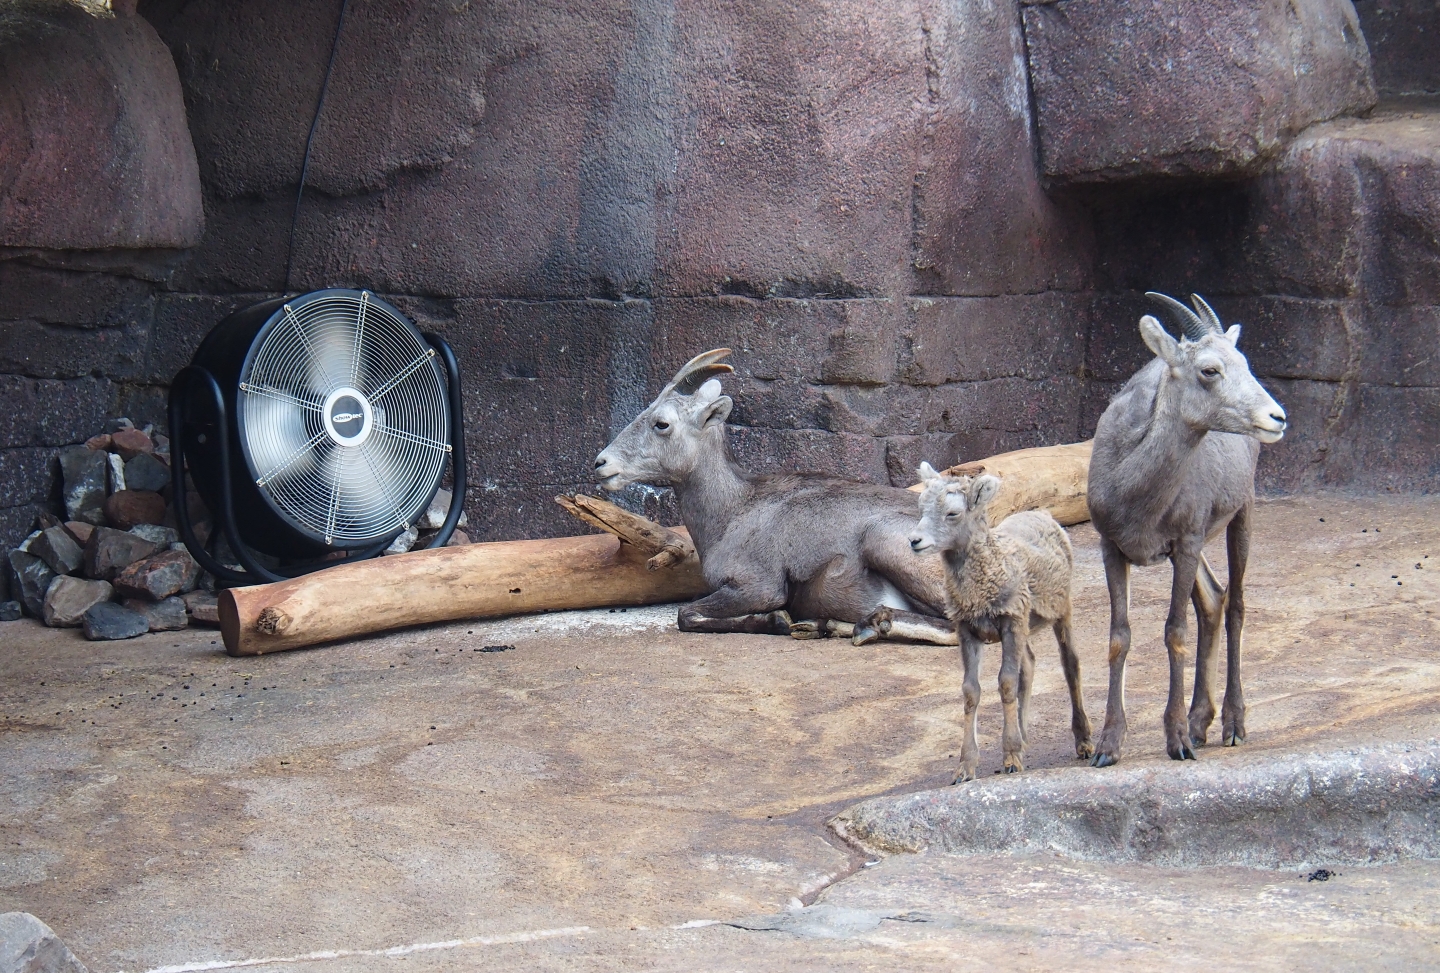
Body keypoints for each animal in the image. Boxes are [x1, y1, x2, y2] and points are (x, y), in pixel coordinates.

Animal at [592, 349, 957, 645]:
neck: (732, 513)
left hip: (882, 541)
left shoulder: (759, 587)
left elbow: (687, 615)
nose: (601, 464)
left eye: (661, 423)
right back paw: (828, 625)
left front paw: (777, 621)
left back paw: (870, 624)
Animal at [910, 463, 1092, 781]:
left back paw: (1083, 742)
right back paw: (1024, 737)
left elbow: (1006, 683)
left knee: (1070, 664)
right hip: (1025, 626)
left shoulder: (1010, 622)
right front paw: (965, 768)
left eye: (952, 513)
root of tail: (1044, 515)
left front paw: (1010, 760)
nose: (915, 541)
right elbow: (971, 691)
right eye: (921, 508)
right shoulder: (968, 630)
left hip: (1060, 610)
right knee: (1029, 665)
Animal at [1086, 292, 1287, 767]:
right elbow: (1119, 637)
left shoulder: (1187, 542)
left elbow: (1174, 632)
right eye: (1209, 370)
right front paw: (1107, 747)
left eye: (1243, 362)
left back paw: (1231, 727)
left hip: (1239, 517)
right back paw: (1201, 723)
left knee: (1235, 606)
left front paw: (1177, 742)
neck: (1133, 491)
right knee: (1213, 600)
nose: (1277, 417)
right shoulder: (1112, 548)